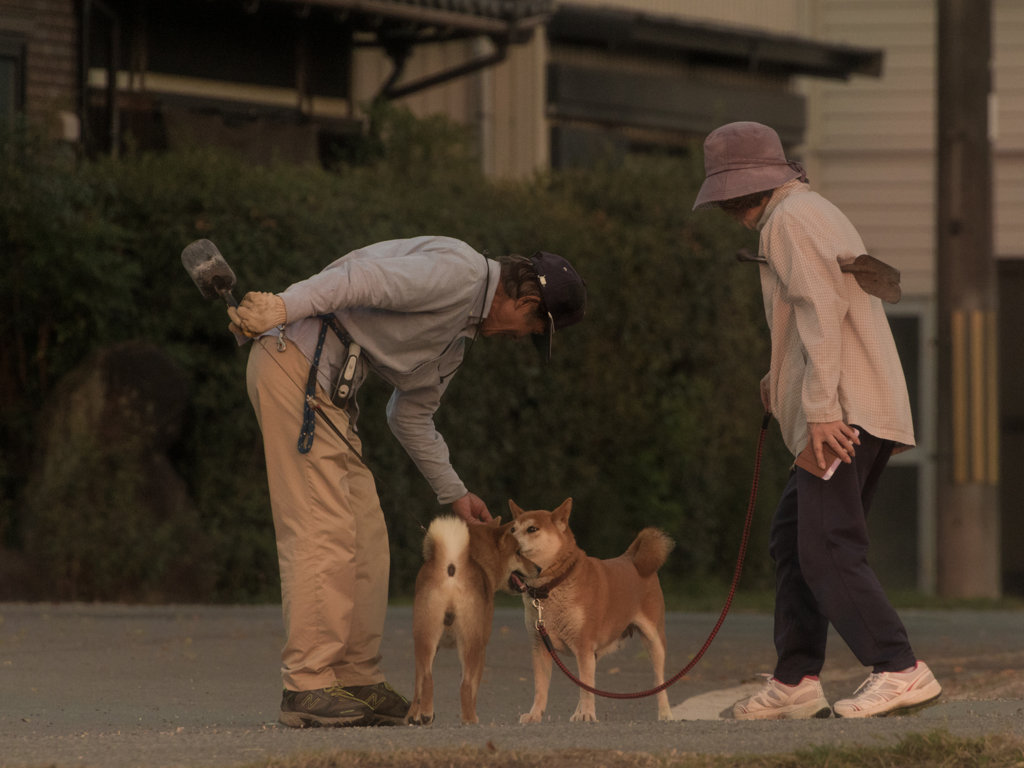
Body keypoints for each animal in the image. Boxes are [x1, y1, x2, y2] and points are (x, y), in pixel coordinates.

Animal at [405, 518, 540, 729]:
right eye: (518, 552)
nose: (539, 568)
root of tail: (451, 566)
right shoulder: (482, 648)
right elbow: (474, 689)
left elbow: (417, 688)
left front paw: (413, 716)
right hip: (470, 644)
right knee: (465, 685)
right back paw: (469, 718)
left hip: (424, 639)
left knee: (427, 678)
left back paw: (426, 713)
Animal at [509, 501, 671, 724]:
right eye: (512, 529)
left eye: (532, 529)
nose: (508, 540)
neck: (550, 588)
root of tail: (631, 557)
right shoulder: (540, 647)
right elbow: (541, 688)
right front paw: (535, 714)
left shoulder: (583, 646)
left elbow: (585, 687)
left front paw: (587, 713)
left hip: (654, 640)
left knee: (659, 681)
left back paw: (665, 713)